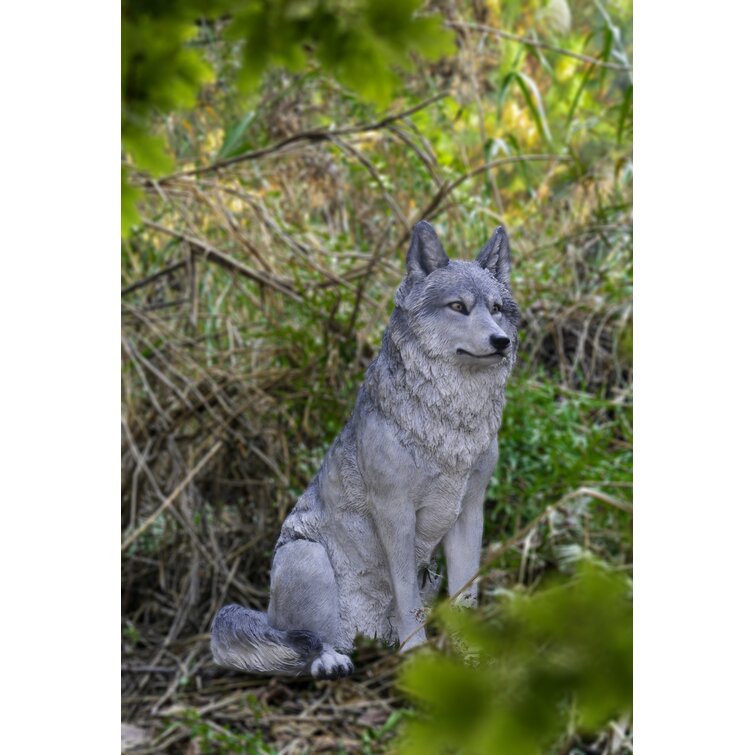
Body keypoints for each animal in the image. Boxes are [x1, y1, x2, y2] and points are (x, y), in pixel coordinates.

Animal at [211, 220, 520, 680]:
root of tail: (268, 615)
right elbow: (407, 601)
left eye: (497, 308)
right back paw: (332, 660)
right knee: (308, 644)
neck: (450, 423)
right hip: (308, 558)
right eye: (459, 307)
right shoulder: (394, 511)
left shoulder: (469, 511)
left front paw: (472, 658)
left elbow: (468, 594)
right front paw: (418, 659)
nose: (501, 342)